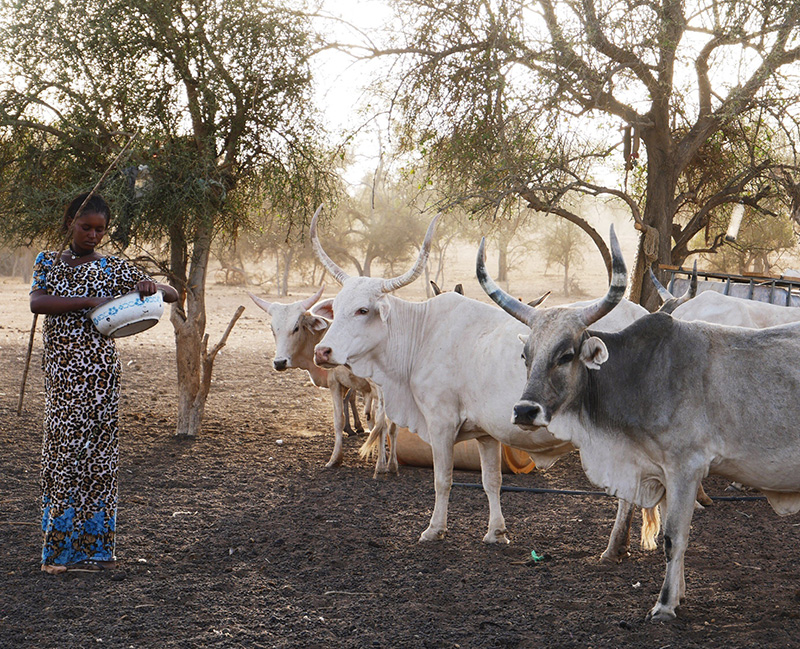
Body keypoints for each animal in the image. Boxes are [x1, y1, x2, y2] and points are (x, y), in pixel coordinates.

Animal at [247, 286, 396, 474]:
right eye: (273, 329)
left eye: (296, 327)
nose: (279, 362)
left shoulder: (336, 383)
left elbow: (339, 419)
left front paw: (335, 459)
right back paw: (391, 463)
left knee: (383, 422)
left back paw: (382, 465)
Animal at [310, 209, 652, 556]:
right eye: (336, 309)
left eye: (362, 310)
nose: (322, 351)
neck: (423, 334)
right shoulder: (487, 434)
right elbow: (492, 482)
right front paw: (496, 532)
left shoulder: (441, 423)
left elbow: (442, 479)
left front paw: (434, 529)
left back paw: (614, 547)